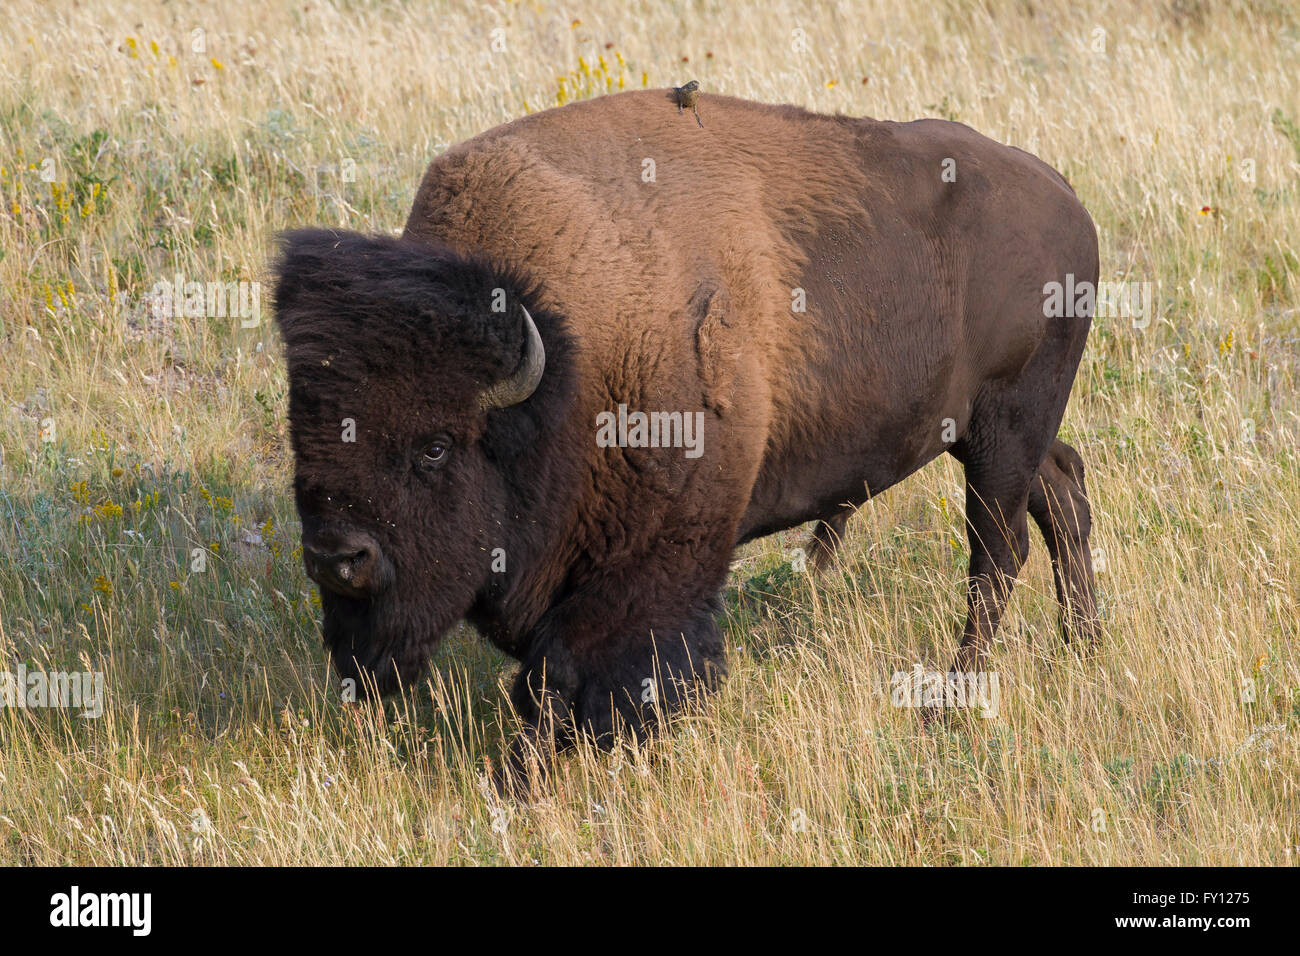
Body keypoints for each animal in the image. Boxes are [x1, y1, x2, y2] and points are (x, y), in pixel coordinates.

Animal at [271, 89, 1097, 790]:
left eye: (435, 448)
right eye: (302, 435)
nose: (337, 557)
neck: (565, 359)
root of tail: (1067, 201)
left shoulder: (651, 559)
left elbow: (575, 671)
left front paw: (530, 778)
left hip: (1004, 427)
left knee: (998, 553)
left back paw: (947, 705)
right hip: (994, 434)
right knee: (1063, 493)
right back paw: (1081, 643)